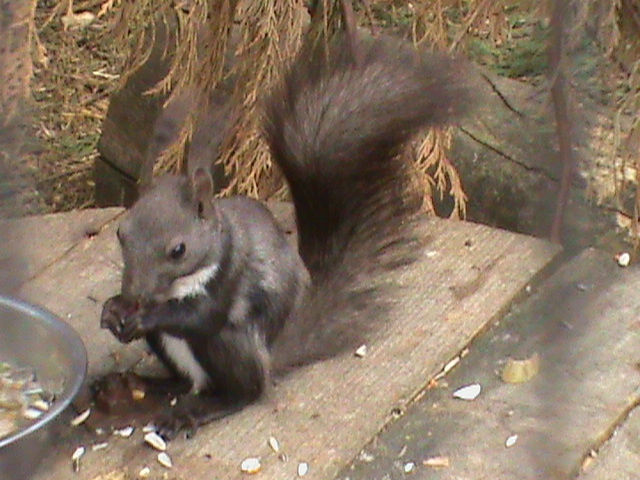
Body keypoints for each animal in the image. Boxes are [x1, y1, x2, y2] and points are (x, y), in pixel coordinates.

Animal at [99, 30, 475, 439]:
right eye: (120, 233)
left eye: (178, 250)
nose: (134, 294)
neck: (176, 287)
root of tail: (270, 355)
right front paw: (114, 309)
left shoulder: (230, 273)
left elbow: (201, 315)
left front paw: (145, 315)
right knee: (183, 381)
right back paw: (139, 386)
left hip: (230, 346)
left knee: (246, 390)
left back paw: (198, 408)